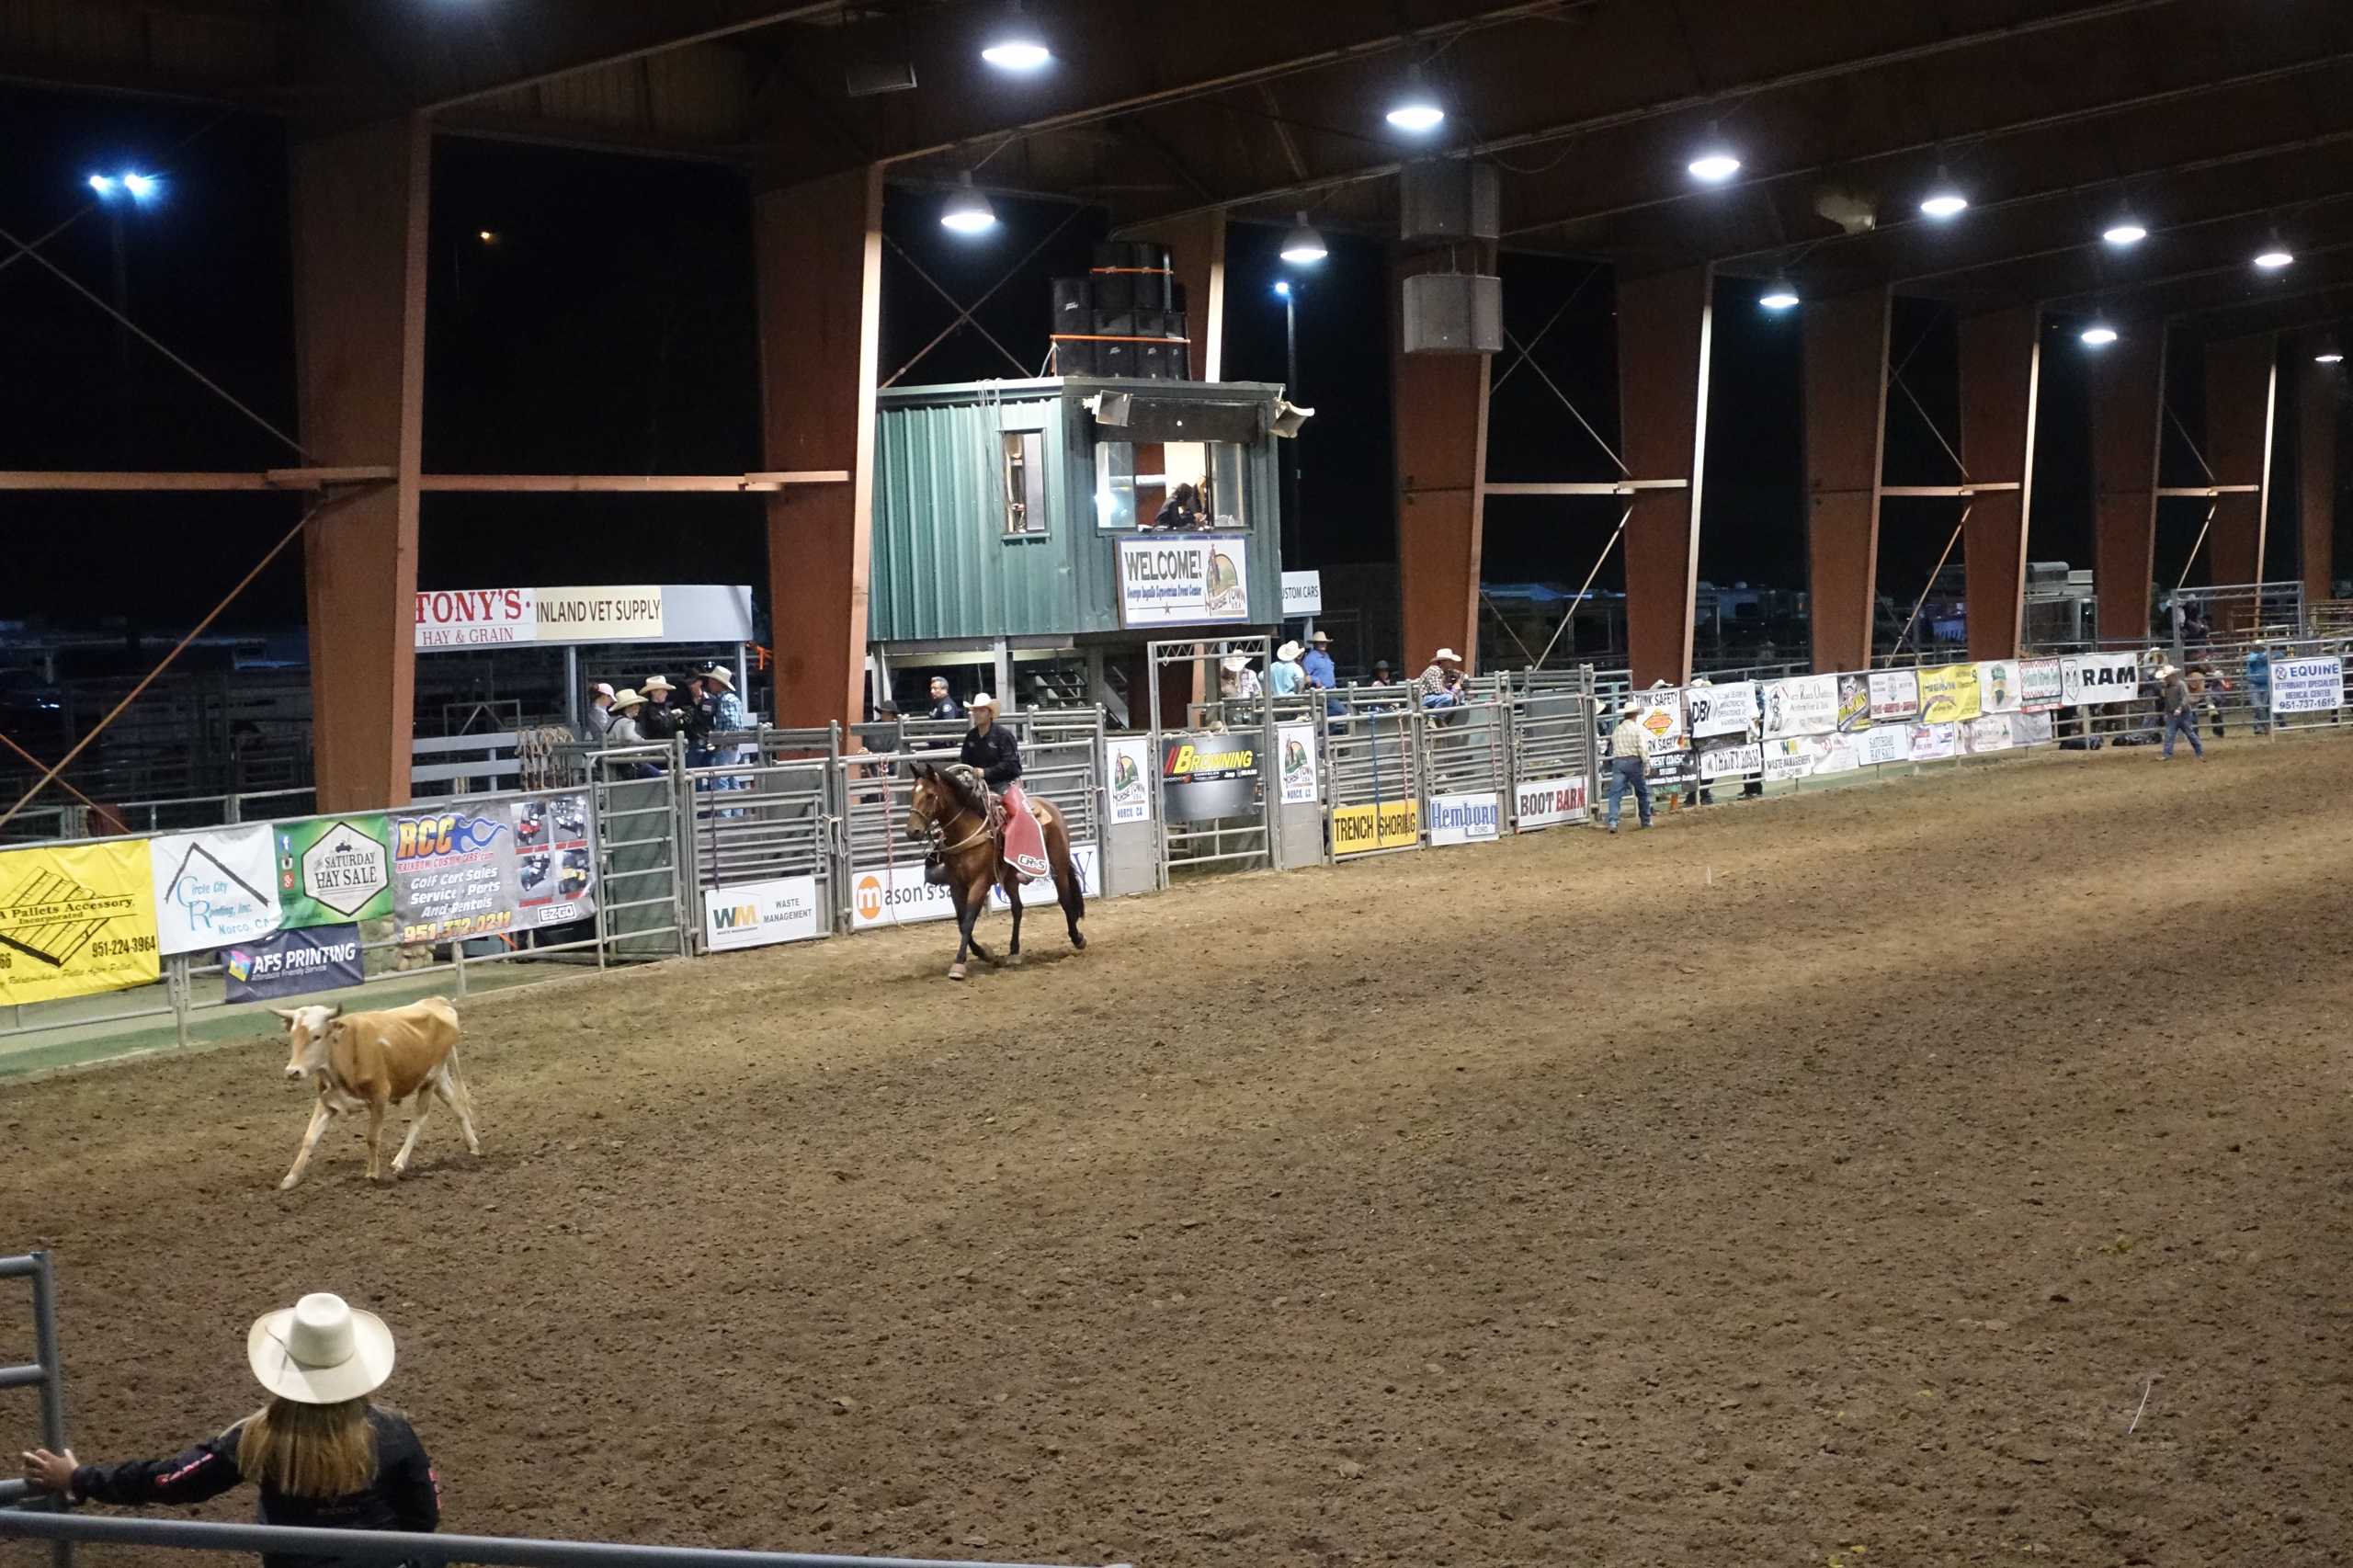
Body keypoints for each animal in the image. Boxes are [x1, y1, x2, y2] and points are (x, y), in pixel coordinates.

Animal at [904, 757, 1086, 979]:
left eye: (930, 795)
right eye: (913, 793)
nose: (912, 831)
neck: (968, 830)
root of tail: (1051, 806)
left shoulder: (980, 883)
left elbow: (968, 920)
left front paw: (959, 964)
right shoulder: (956, 885)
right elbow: (961, 921)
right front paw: (985, 954)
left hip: (1058, 864)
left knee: (1065, 900)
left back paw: (1077, 938)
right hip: (1010, 878)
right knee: (1017, 908)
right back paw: (1014, 952)